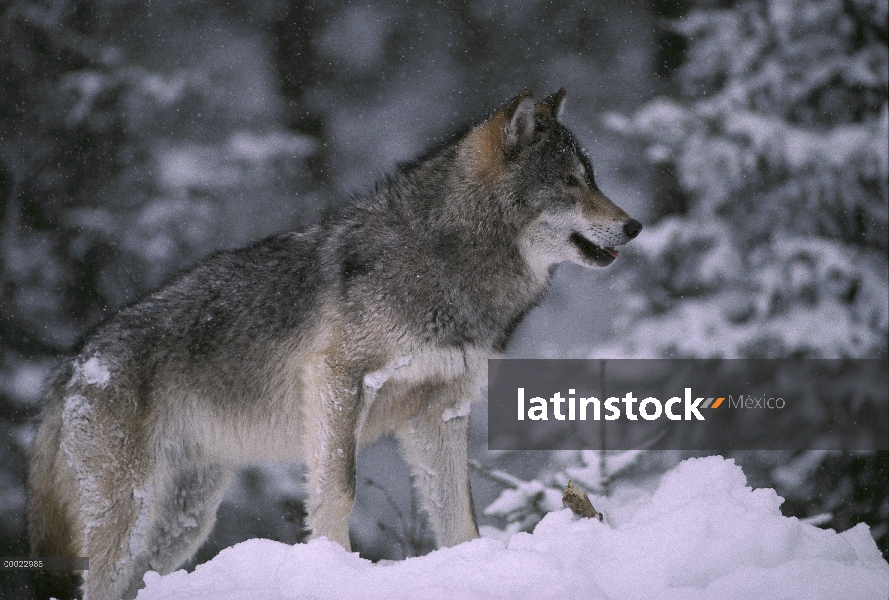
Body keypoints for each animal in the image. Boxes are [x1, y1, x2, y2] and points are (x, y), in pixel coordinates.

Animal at [27, 90, 640, 600]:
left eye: (592, 178)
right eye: (570, 182)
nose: (633, 226)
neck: (446, 261)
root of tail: (74, 363)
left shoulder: (442, 409)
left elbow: (458, 513)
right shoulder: (338, 378)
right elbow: (337, 489)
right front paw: (333, 568)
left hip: (184, 520)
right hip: (125, 515)